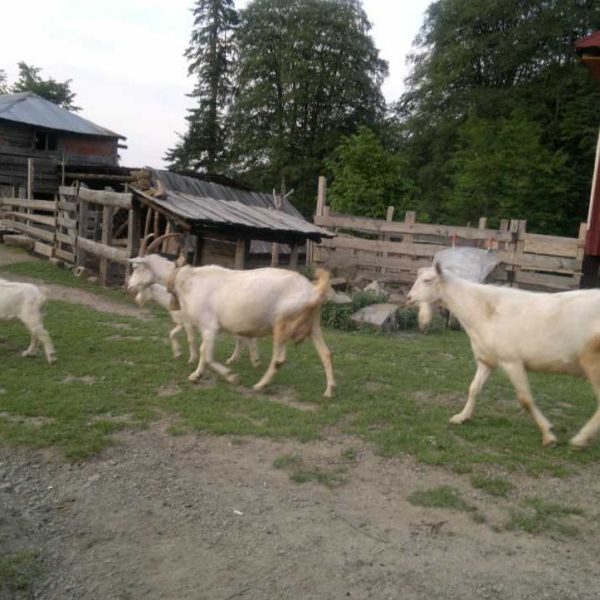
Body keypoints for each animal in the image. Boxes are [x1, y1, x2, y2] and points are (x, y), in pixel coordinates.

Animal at [127, 250, 332, 396]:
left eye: (136, 267)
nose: (129, 286)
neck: (188, 280)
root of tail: (313, 291)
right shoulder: (203, 327)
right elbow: (203, 349)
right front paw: (197, 374)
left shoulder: (209, 326)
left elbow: (205, 352)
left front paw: (225, 376)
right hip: (314, 325)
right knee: (326, 353)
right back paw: (329, 390)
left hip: (282, 323)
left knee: (279, 359)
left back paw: (259, 385)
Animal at [408, 264, 600, 448]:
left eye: (427, 280)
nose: (409, 298)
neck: (484, 310)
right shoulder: (486, 361)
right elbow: (474, 389)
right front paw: (462, 417)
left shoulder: (512, 361)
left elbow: (525, 399)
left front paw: (548, 435)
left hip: (592, 362)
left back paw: (580, 440)